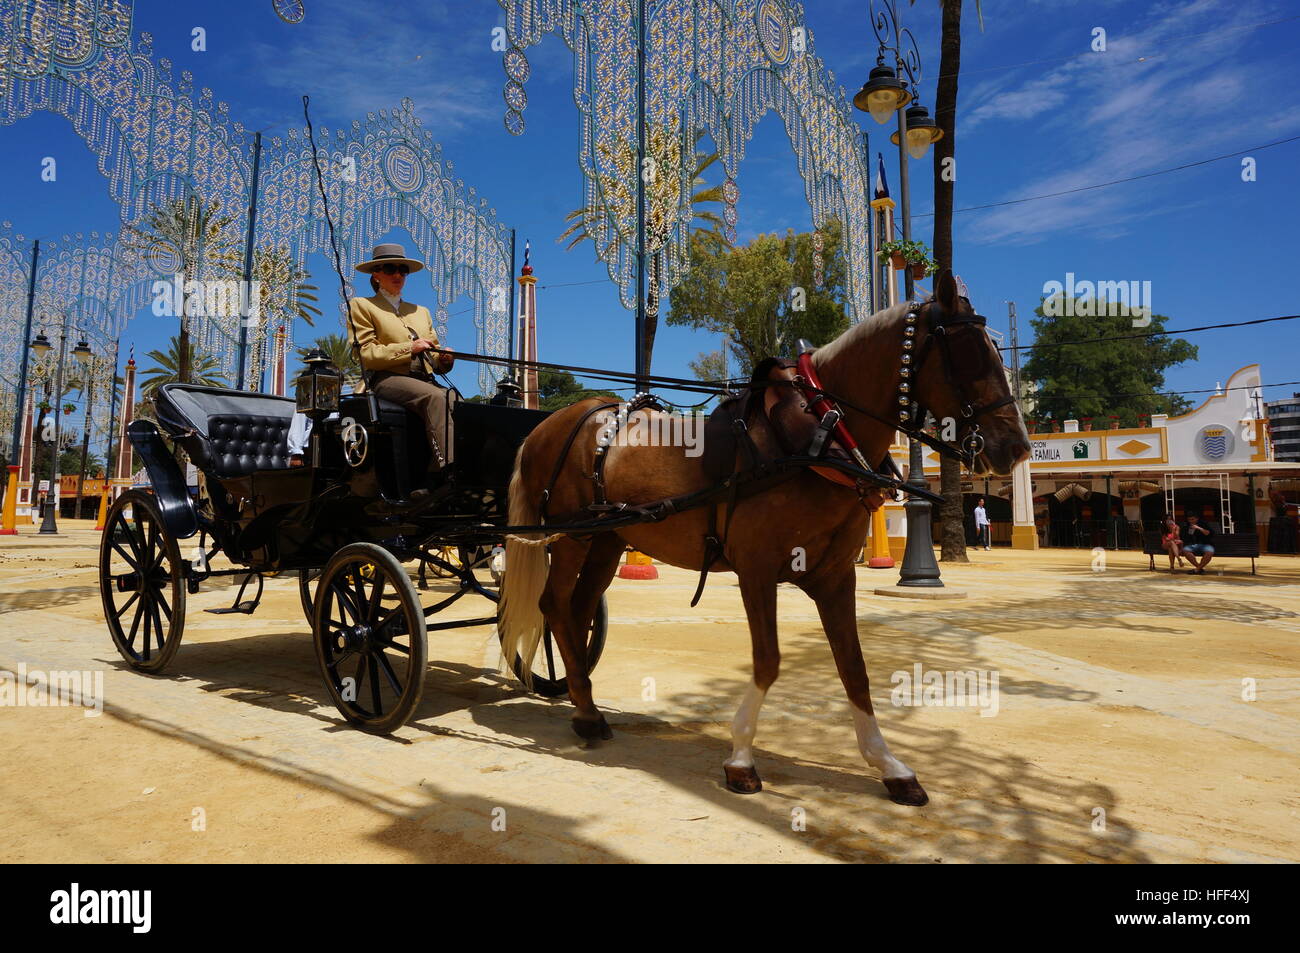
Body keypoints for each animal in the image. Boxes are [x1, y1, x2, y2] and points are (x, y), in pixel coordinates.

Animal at [493, 267, 1024, 800]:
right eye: (970, 353)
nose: (1015, 447)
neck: (819, 436)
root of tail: (549, 425)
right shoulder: (756, 569)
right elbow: (768, 660)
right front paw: (741, 758)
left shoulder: (835, 576)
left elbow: (854, 667)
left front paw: (889, 764)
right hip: (571, 537)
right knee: (555, 606)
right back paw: (584, 712)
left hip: (608, 539)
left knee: (580, 610)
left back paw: (585, 705)